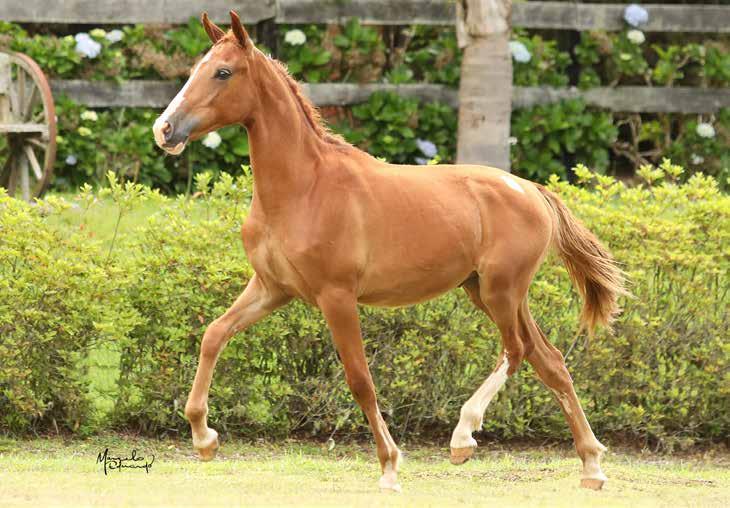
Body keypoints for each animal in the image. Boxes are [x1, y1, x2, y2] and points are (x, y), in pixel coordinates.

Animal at [151, 11, 624, 494]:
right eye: (196, 69)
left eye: (223, 72)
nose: (164, 130)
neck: (304, 188)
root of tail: (531, 189)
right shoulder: (271, 288)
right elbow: (214, 334)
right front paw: (204, 438)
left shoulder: (337, 296)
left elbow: (360, 379)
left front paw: (390, 466)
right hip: (488, 292)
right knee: (549, 360)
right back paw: (591, 465)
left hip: (500, 291)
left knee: (517, 350)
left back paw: (463, 437)